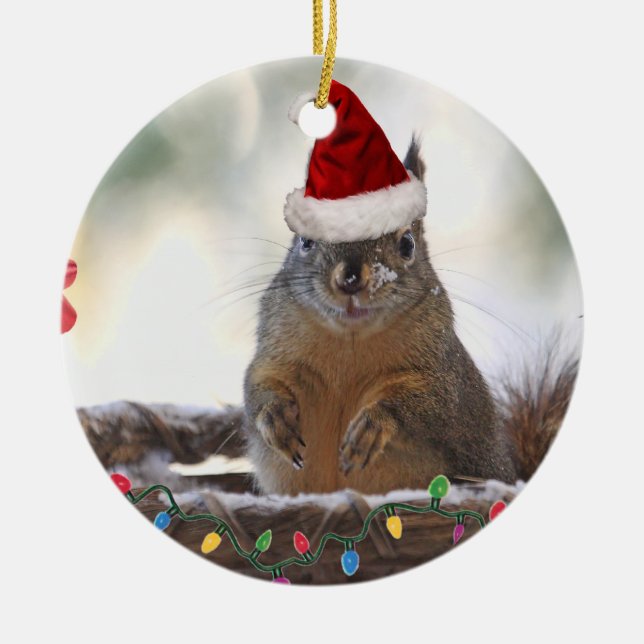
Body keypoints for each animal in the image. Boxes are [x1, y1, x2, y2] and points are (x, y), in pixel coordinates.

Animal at [243, 139, 523, 496]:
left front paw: (373, 425)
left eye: (407, 244)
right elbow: (259, 385)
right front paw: (275, 416)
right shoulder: (277, 354)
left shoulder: (441, 375)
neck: (349, 343)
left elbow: (430, 404)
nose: (350, 279)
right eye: (306, 240)